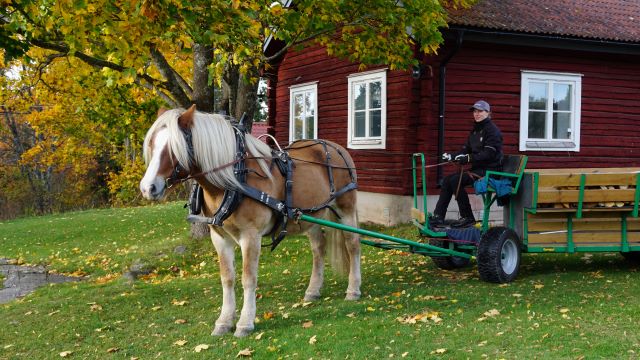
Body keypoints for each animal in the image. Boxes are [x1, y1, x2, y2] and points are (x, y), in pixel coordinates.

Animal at [139, 105, 360, 336]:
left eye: (174, 147)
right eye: (152, 144)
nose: (147, 188)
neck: (233, 179)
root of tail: (336, 147)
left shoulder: (251, 236)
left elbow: (248, 278)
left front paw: (245, 322)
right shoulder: (219, 238)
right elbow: (227, 278)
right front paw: (224, 321)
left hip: (345, 208)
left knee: (353, 245)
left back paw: (353, 289)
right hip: (311, 215)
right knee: (319, 248)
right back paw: (313, 290)